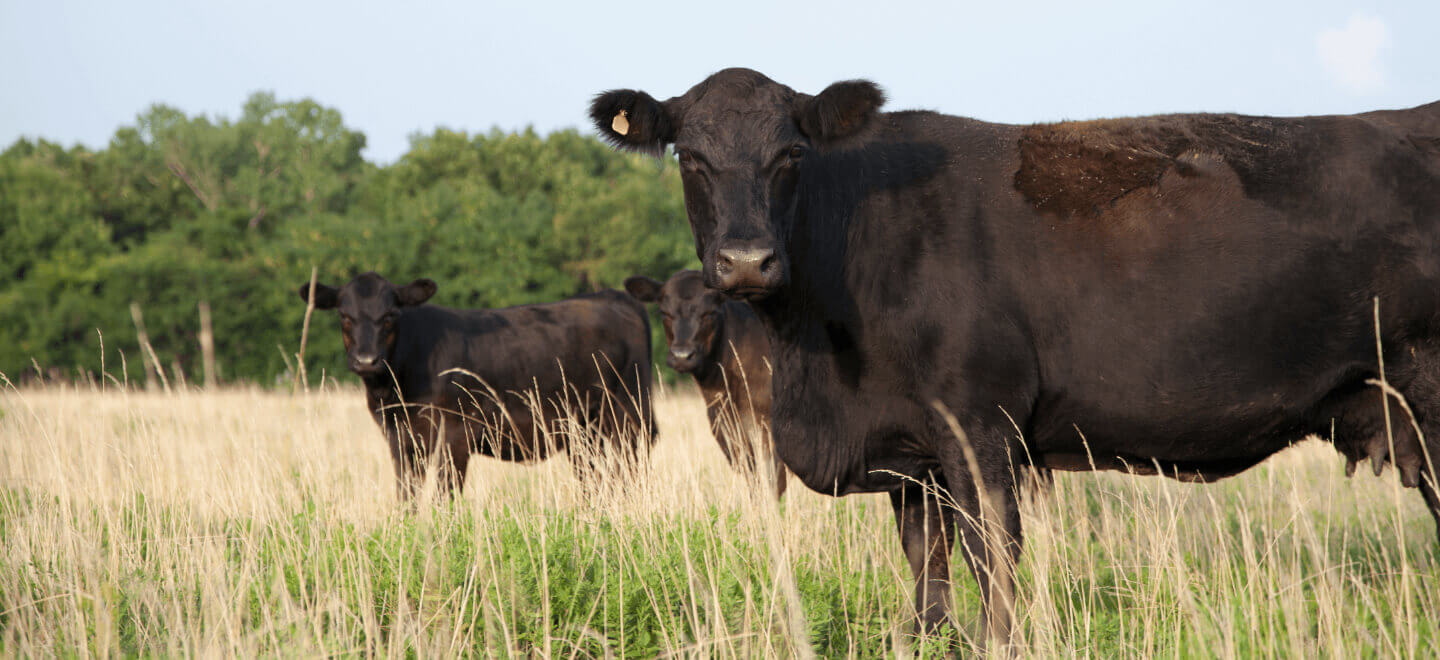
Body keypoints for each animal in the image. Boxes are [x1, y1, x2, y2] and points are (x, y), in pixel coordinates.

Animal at [300, 272, 656, 501]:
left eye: (390, 315)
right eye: (344, 316)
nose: (366, 360)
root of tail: (610, 296)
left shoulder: (456, 435)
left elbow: (445, 499)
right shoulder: (401, 439)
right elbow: (407, 498)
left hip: (628, 414)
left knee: (631, 469)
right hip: (583, 430)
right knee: (592, 478)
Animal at [627, 268, 794, 495]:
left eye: (709, 313)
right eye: (664, 313)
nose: (682, 355)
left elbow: (774, 481)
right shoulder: (726, 431)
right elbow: (753, 479)